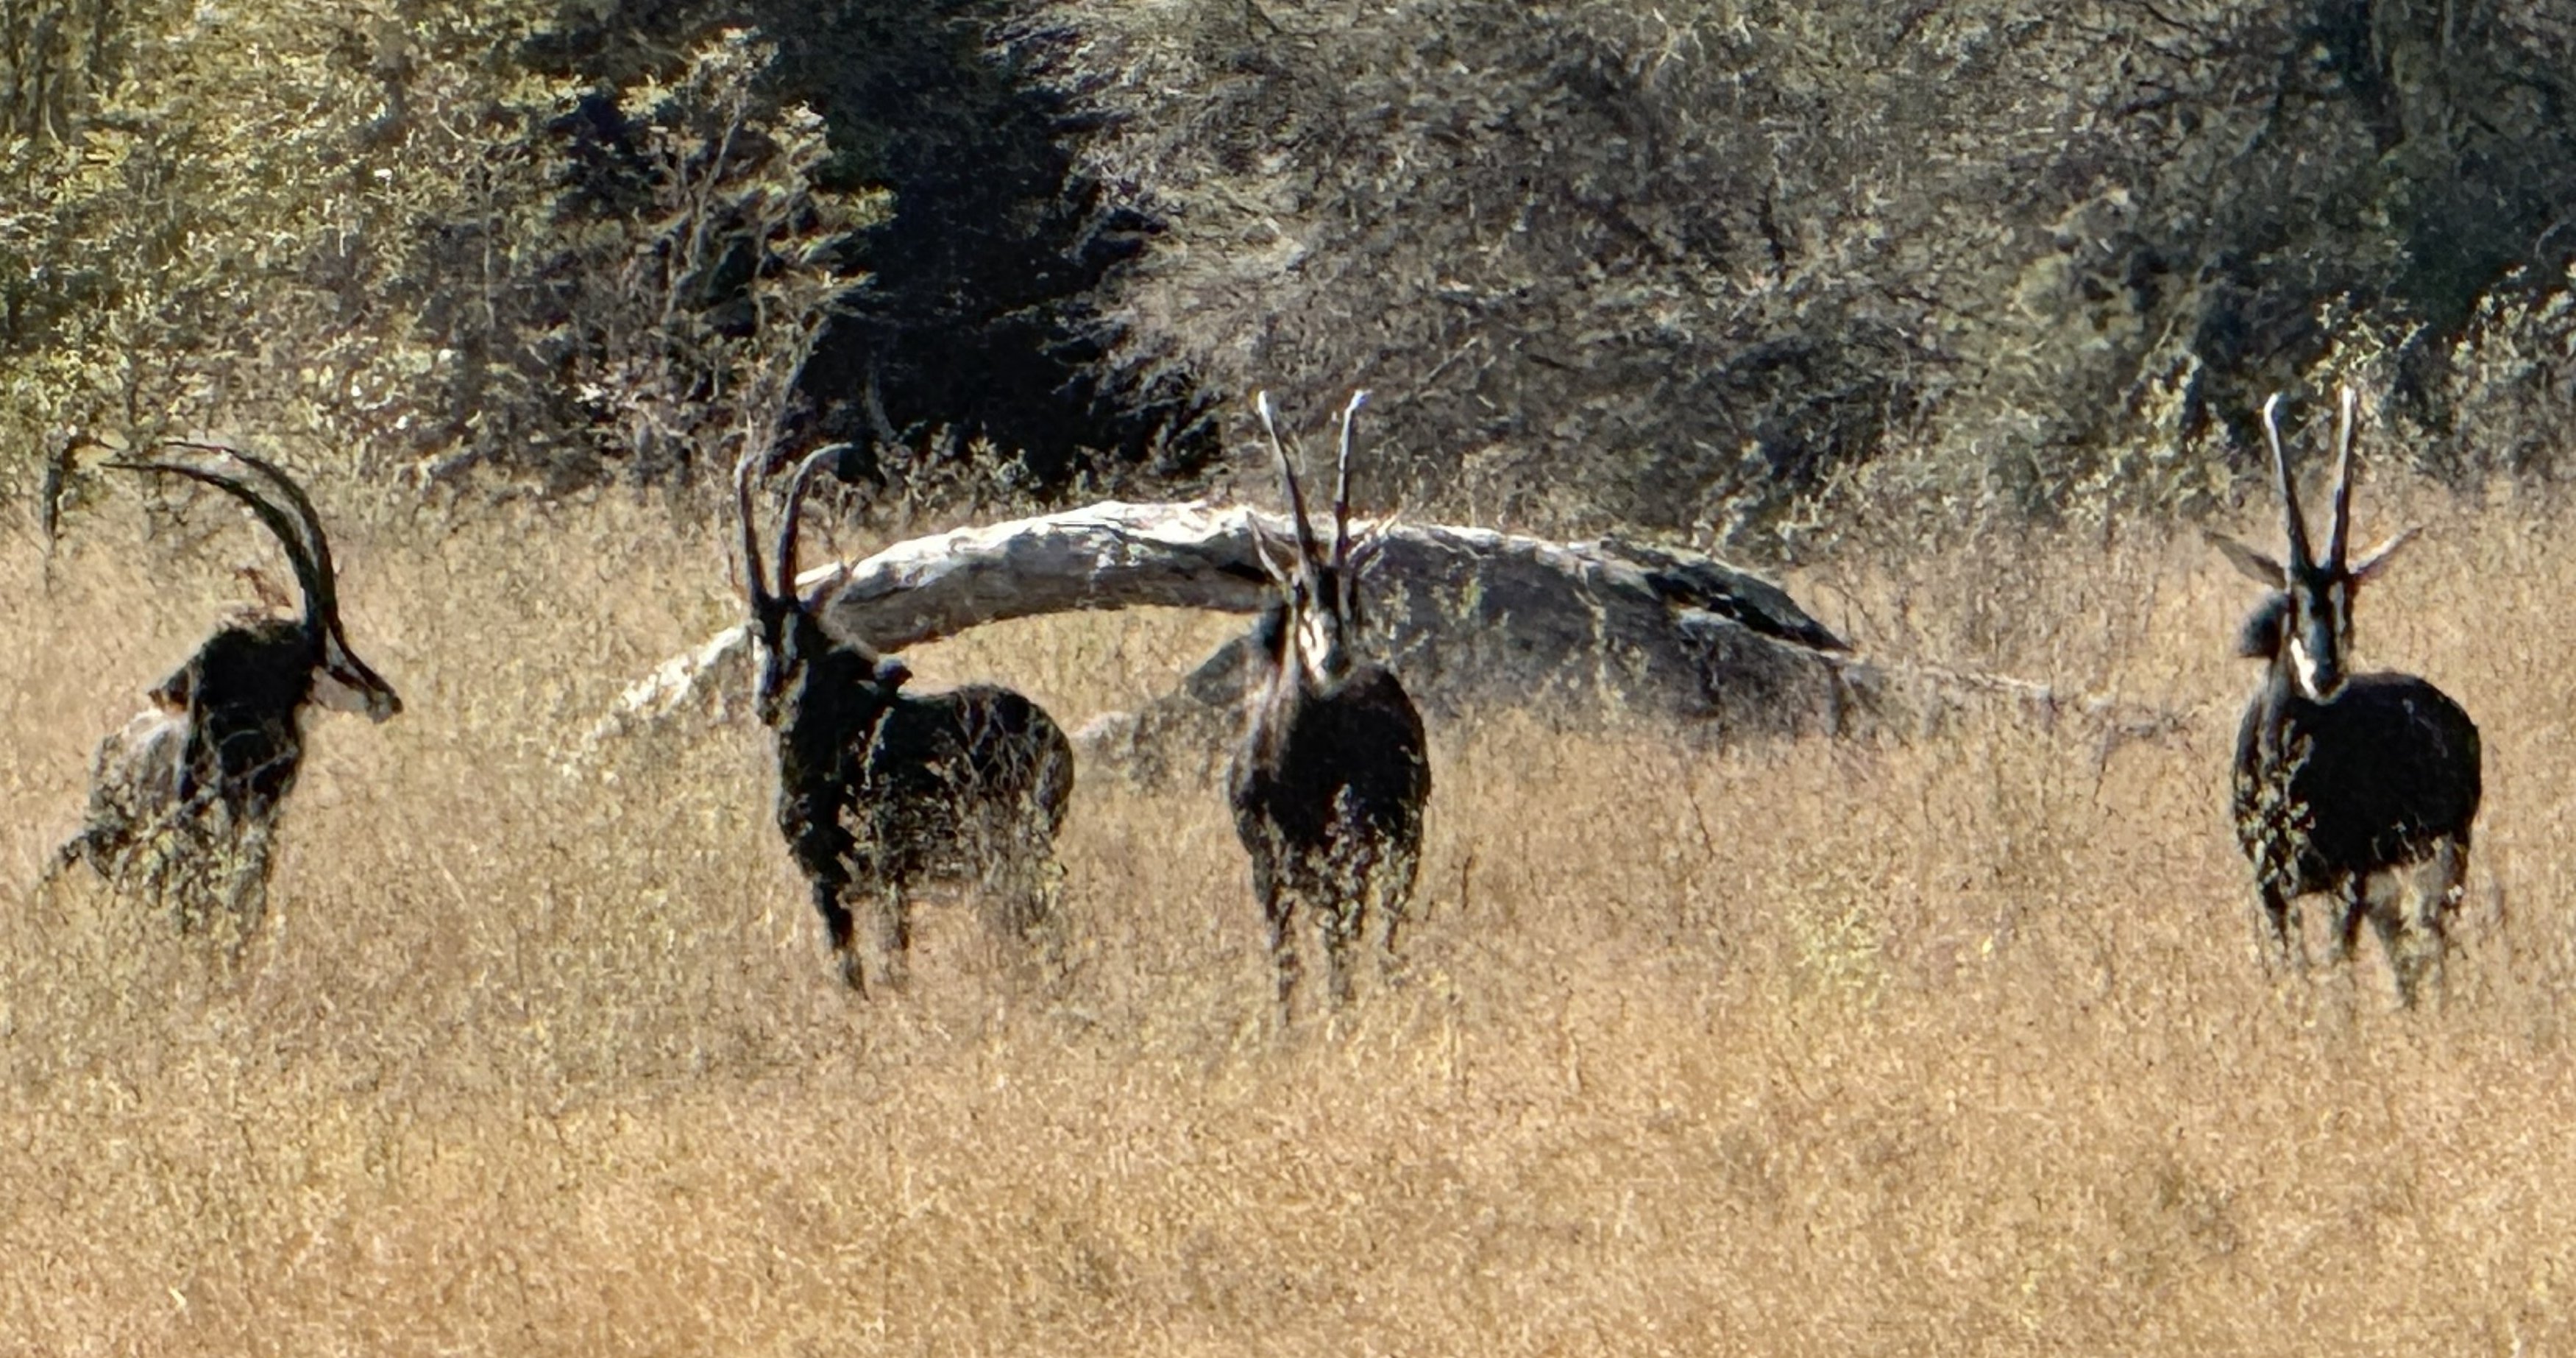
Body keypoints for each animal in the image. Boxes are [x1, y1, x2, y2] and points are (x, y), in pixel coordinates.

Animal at [736, 446, 1076, 992]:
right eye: (754, 632)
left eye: (797, 637)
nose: (767, 700)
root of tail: (1053, 734)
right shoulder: (831, 887)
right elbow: (850, 972)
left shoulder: (883, 876)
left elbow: (891, 965)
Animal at [1229, 391, 1431, 1018]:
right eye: (1297, 587)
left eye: (1352, 588)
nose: (1335, 656)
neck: (1298, 773)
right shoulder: (1266, 873)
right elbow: (1287, 971)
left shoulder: (1347, 867)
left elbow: (1340, 966)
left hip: (1402, 848)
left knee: (1385, 934)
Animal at [2213, 386, 2481, 1005]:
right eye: (2291, 599)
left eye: (2348, 598)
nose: (2326, 672)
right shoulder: (2270, 888)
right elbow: (2293, 974)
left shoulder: (2346, 883)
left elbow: (2337, 978)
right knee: (2405, 954)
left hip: (2443, 858)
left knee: (2431, 942)